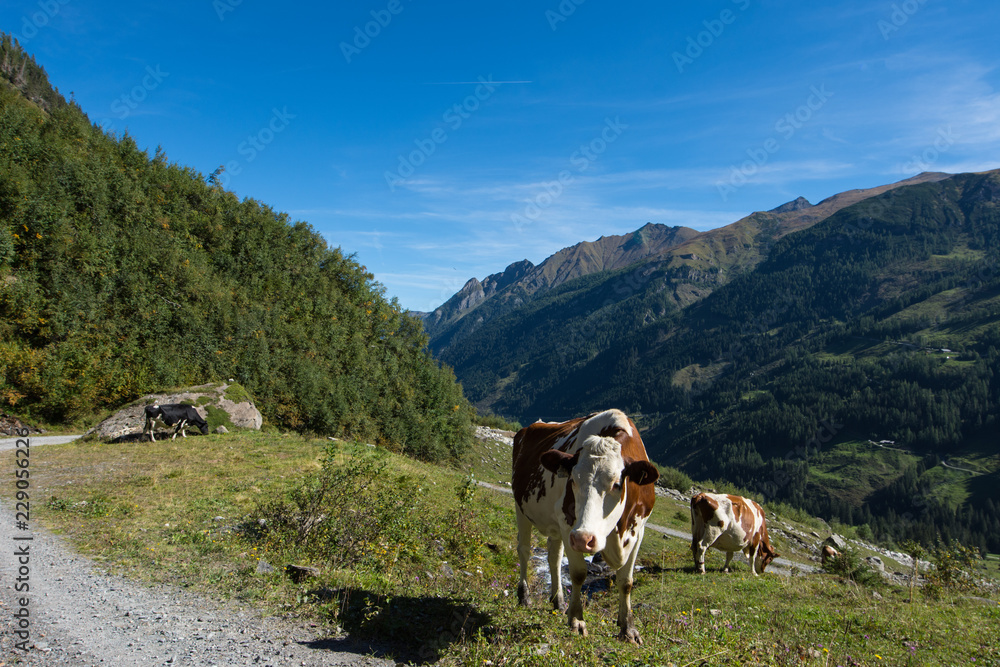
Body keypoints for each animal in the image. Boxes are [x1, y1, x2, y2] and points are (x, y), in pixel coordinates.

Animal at [512, 409, 659, 643]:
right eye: (572, 480)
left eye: (617, 484)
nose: (584, 539)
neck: (619, 531)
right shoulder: (568, 524)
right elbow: (579, 573)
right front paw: (576, 620)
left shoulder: (639, 530)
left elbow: (626, 581)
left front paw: (628, 628)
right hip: (521, 507)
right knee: (524, 550)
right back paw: (524, 596)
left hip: (555, 527)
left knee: (554, 557)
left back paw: (558, 600)